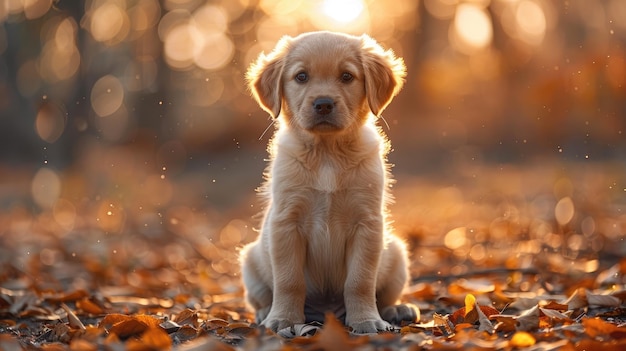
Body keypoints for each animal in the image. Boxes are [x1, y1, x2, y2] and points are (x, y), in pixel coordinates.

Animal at [239, 31, 414, 334]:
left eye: (346, 76)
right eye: (301, 76)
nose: (323, 104)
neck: (327, 153)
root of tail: (326, 312)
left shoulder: (367, 224)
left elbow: (360, 281)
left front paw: (366, 320)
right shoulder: (286, 222)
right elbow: (289, 281)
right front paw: (284, 319)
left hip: (397, 254)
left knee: (385, 295)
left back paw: (396, 310)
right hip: (251, 261)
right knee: (262, 296)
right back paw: (264, 313)